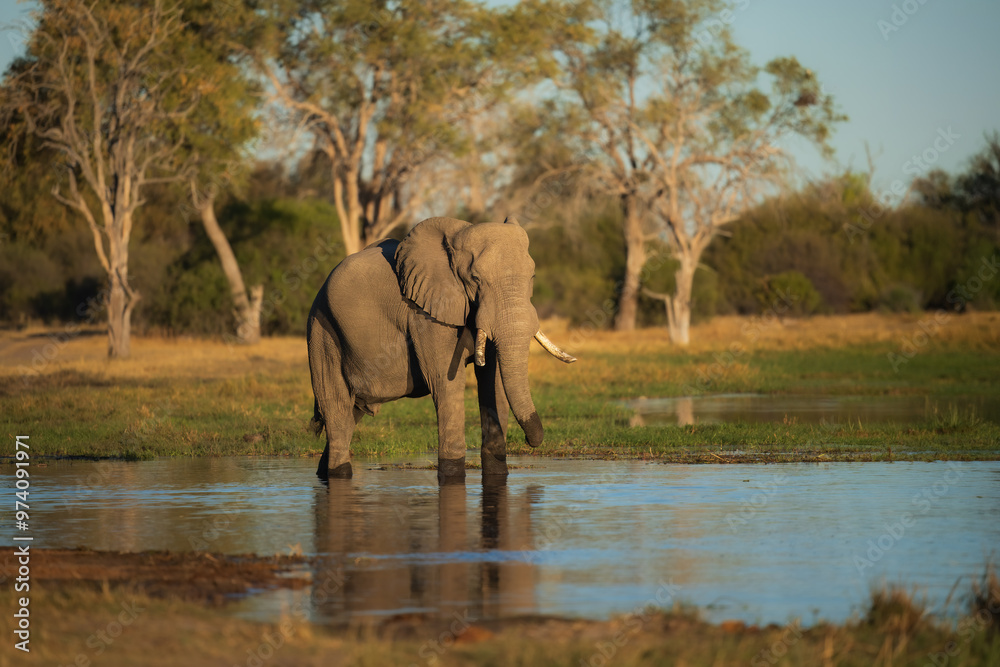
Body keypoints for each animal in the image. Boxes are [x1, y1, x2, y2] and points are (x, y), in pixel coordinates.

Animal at [307, 215, 575, 483]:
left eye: (533, 276)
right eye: (475, 279)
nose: (532, 441)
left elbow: (494, 383)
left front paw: (497, 474)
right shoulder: (424, 313)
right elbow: (446, 382)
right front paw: (453, 478)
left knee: (351, 413)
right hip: (322, 332)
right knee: (337, 409)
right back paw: (338, 473)